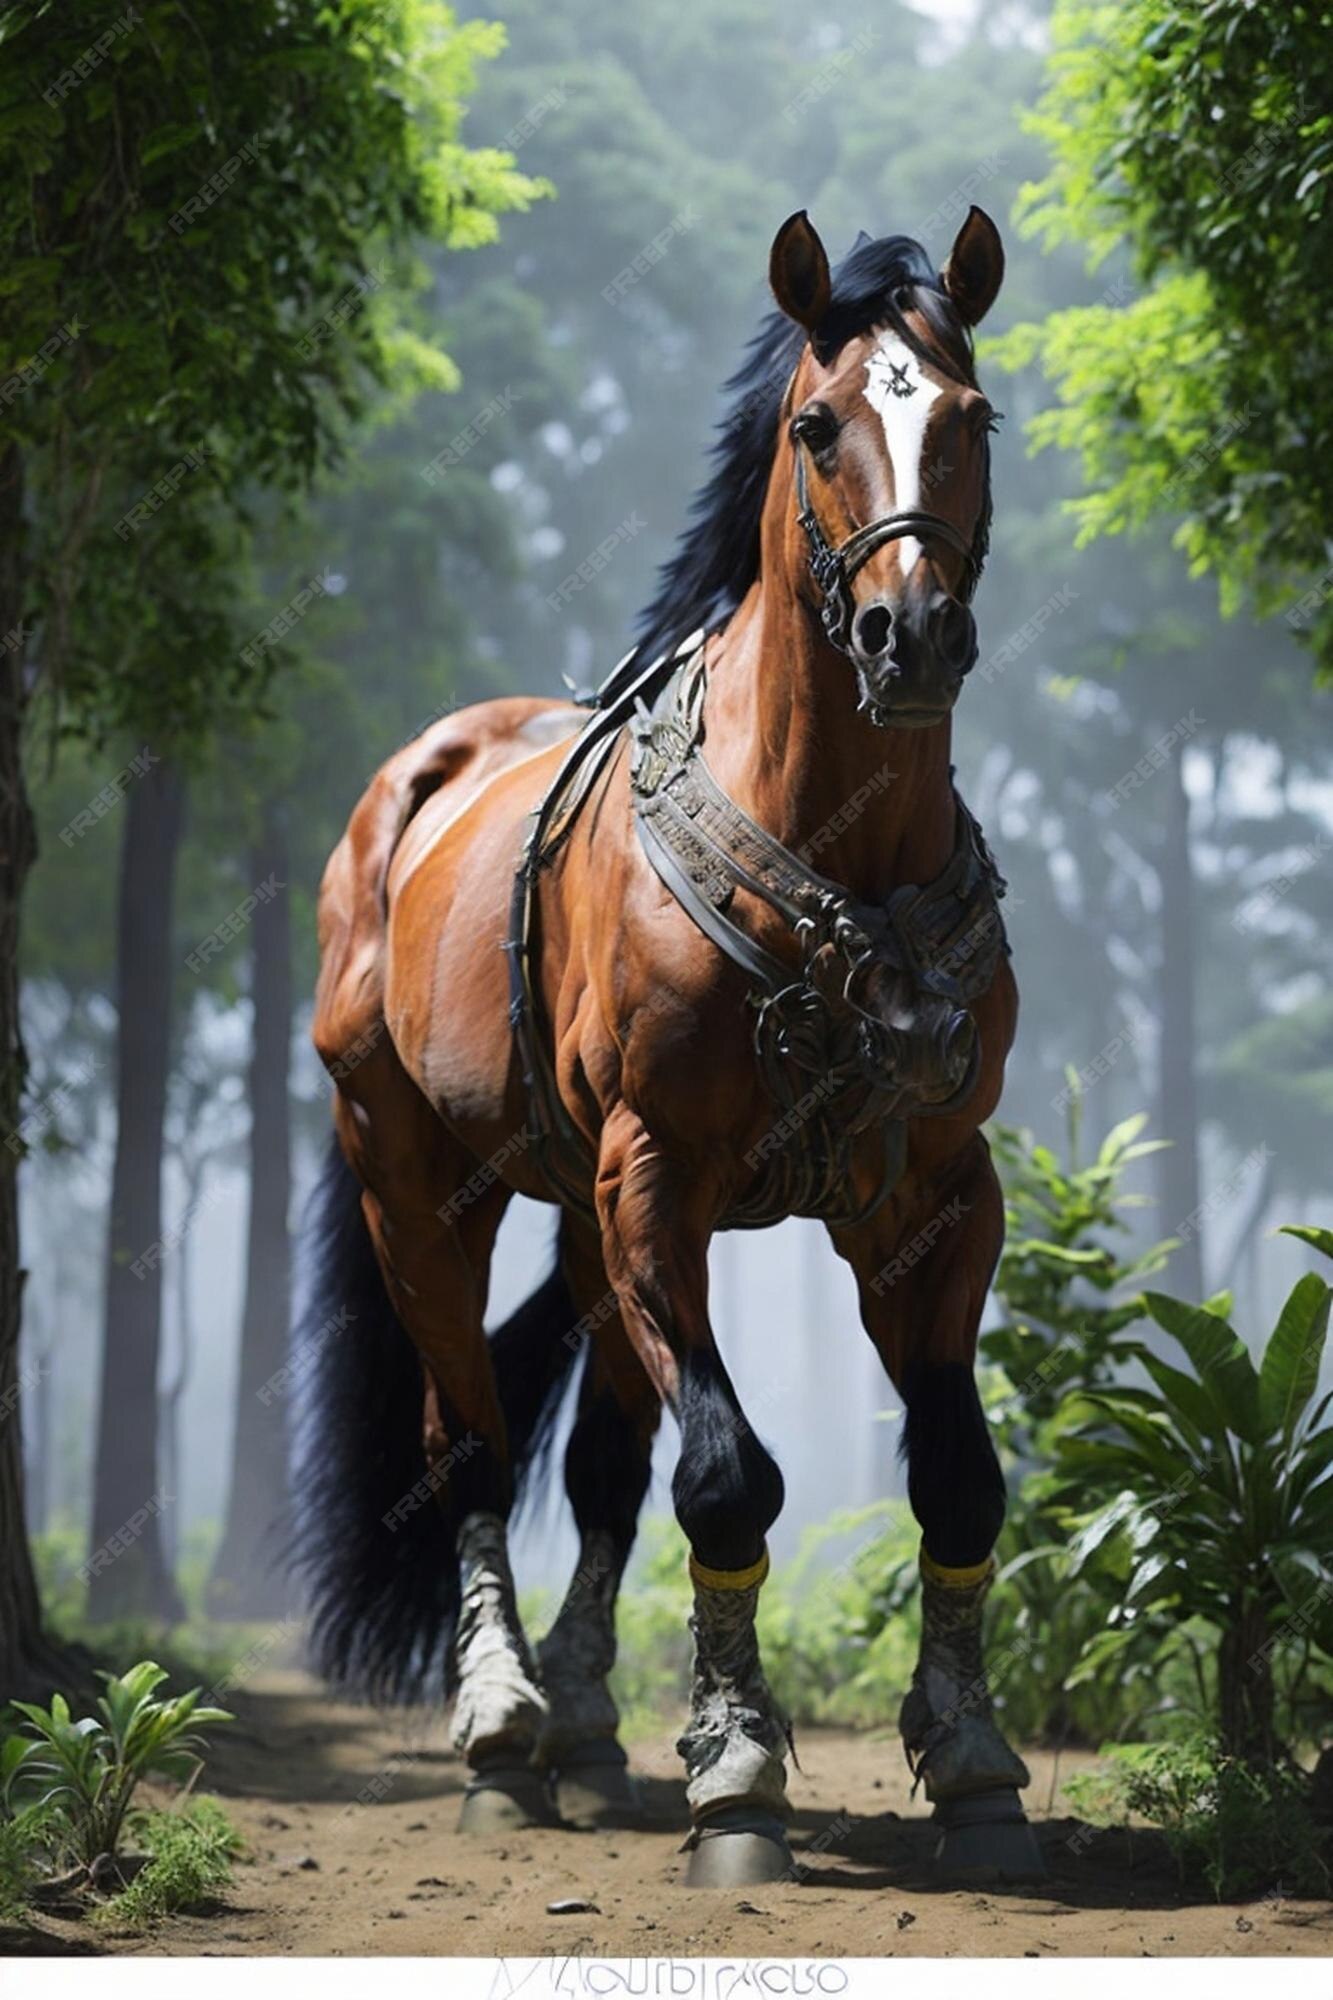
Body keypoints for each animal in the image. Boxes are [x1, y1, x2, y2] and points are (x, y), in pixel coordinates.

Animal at [290, 211, 1040, 1880]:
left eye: (971, 420)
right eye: (818, 425)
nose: (915, 636)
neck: (834, 852)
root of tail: (402, 798)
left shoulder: (929, 1192)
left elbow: (954, 1477)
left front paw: (969, 1760)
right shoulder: (659, 1176)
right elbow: (726, 1477)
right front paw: (740, 1770)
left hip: (578, 1209)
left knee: (597, 1463)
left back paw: (580, 1726)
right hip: (416, 1181)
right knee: (473, 1445)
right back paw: (501, 1731)